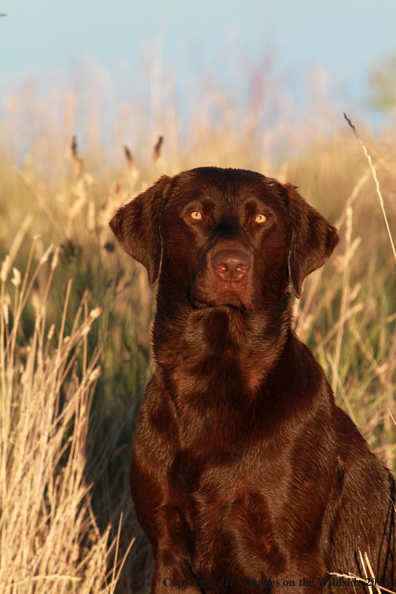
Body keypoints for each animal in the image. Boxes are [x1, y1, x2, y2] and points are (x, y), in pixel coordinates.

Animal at [110, 168, 394, 592]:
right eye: (195, 214)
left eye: (261, 219)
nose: (232, 265)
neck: (214, 377)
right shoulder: (168, 551)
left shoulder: (294, 559)